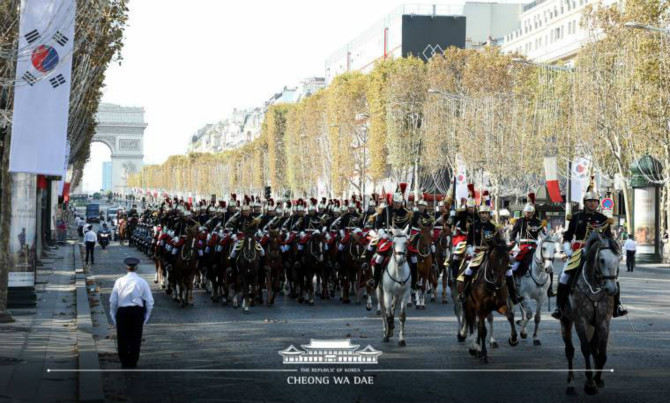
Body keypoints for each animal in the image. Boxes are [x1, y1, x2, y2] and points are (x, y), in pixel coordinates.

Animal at [560, 232, 624, 396]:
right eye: (601, 260)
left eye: (619, 259)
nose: (612, 290)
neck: (594, 285)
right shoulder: (580, 321)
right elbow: (585, 349)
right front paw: (589, 383)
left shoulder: (603, 322)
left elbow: (601, 354)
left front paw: (597, 379)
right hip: (566, 320)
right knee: (569, 350)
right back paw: (570, 384)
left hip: (593, 324)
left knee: (594, 347)